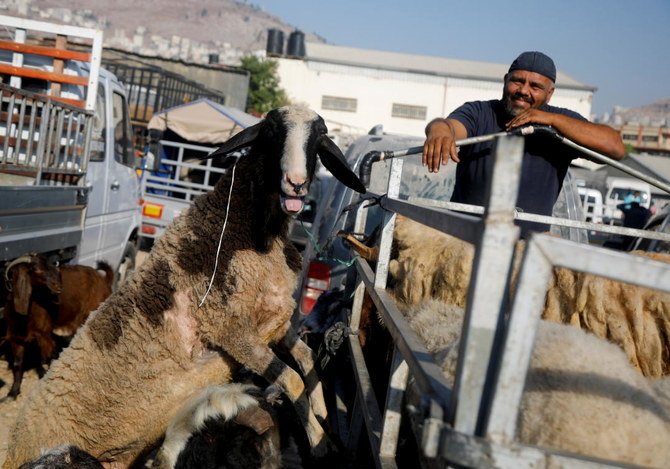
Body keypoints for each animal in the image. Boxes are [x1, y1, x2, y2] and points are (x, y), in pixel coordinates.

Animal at [2, 254, 114, 396]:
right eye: (35, 269)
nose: (58, 286)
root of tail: (104, 280)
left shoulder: (44, 336)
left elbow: (47, 359)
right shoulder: (16, 337)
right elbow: (18, 364)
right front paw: (13, 391)